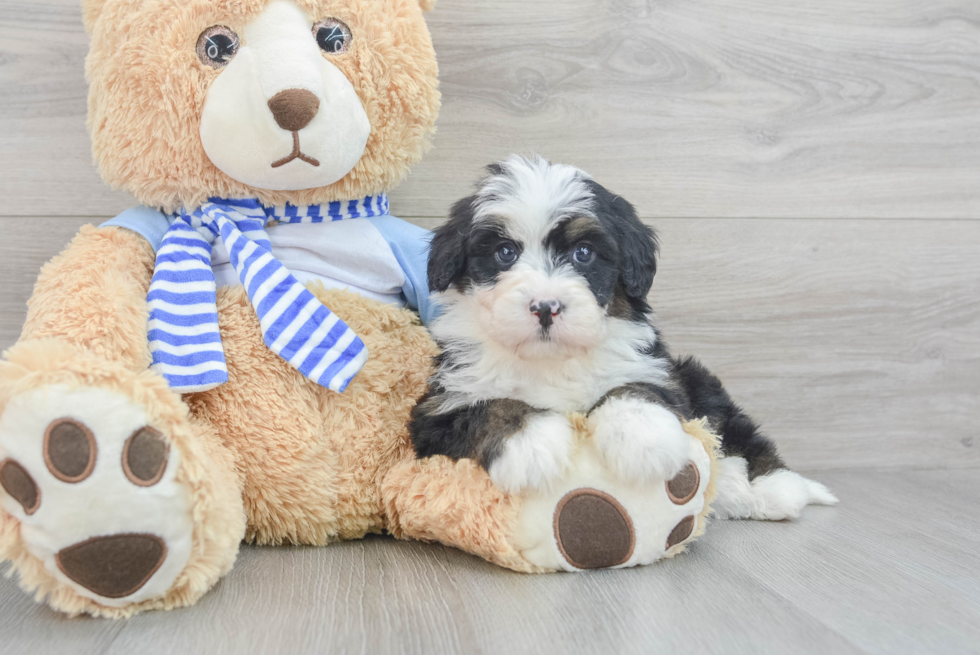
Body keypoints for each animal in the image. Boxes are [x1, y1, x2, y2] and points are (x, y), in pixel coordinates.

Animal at [410, 156, 840, 520]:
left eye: (583, 253)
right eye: (504, 252)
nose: (546, 306)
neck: (553, 360)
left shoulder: (656, 370)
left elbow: (635, 387)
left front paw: (643, 439)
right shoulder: (439, 409)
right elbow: (491, 408)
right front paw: (533, 446)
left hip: (698, 378)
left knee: (738, 431)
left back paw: (767, 488)